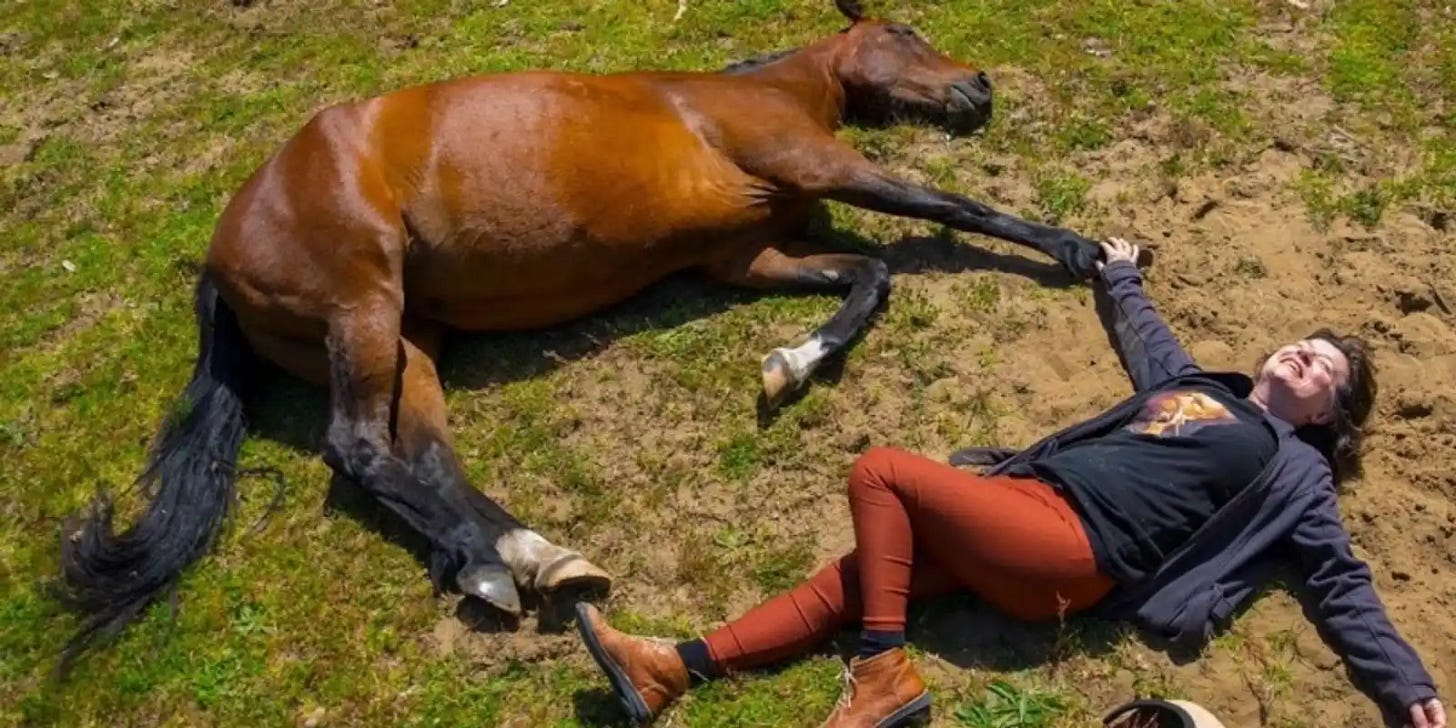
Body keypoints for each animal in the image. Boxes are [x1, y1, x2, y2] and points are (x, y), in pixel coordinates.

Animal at [56, 0, 1108, 671]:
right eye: (903, 29)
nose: (979, 89)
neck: (750, 95)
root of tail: (220, 251)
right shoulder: (815, 164)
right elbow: (953, 208)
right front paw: (1082, 249)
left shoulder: (746, 256)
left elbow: (870, 279)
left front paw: (789, 366)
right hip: (364, 307)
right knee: (354, 447)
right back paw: (510, 561)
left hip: (414, 337)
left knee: (422, 455)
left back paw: (516, 559)